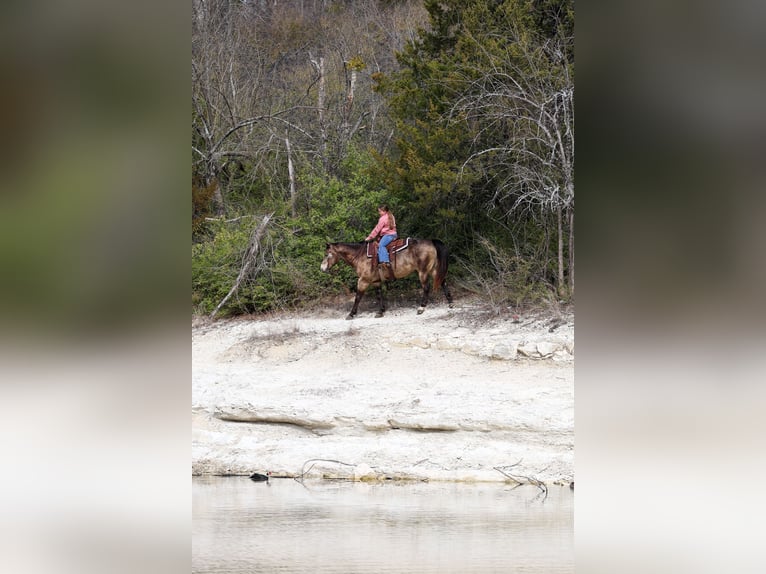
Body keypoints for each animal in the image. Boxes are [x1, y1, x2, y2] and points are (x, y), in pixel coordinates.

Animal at [320, 238, 454, 319]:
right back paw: (450, 303)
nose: (322, 268)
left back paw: (421, 308)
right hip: (433, 269)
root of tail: (431, 241)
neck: (360, 255)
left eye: (327, 254)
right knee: (443, 282)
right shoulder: (376, 281)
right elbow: (379, 295)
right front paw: (381, 311)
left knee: (426, 288)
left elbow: (358, 297)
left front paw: (351, 314)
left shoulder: (363, 280)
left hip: (423, 272)